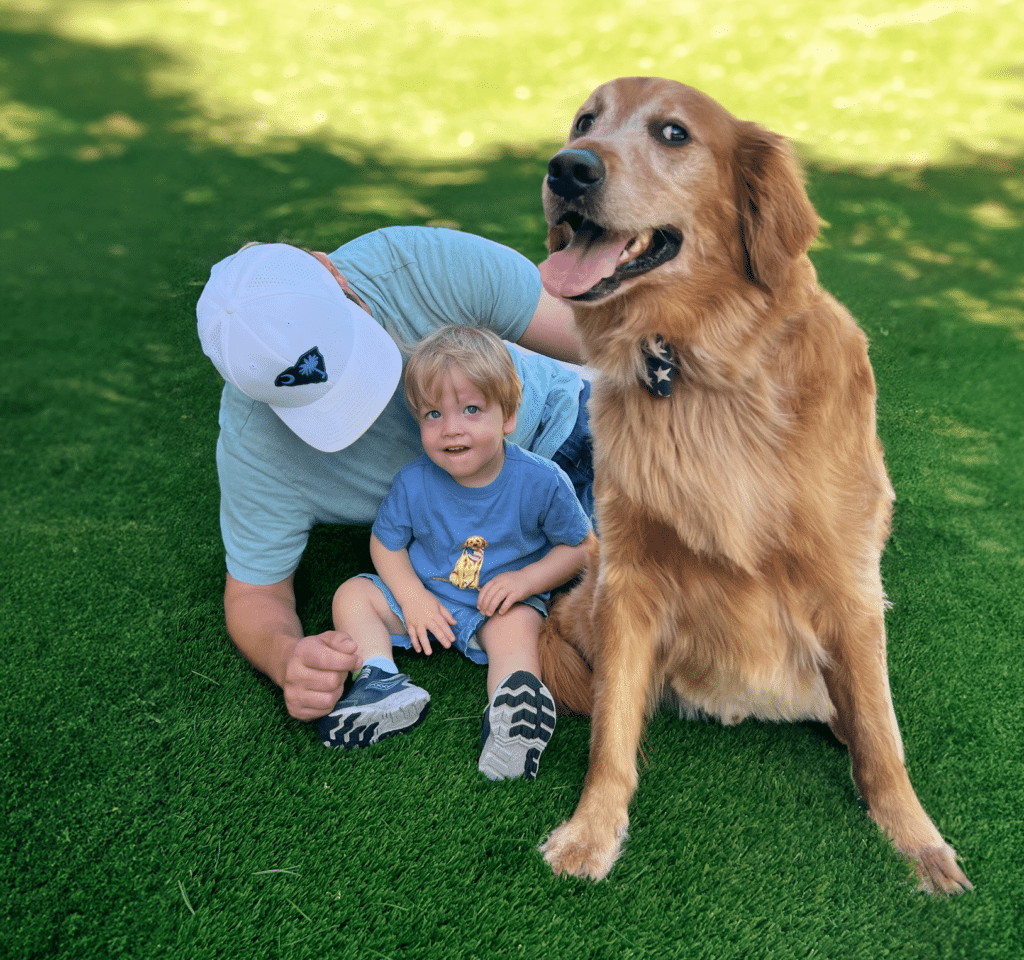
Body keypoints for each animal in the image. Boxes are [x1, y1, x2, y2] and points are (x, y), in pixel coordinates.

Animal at [532, 74, 970, 892]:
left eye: (674, 133)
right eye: (584, 121)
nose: (567, 168)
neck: (702, 366)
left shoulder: (848, 581)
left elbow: (884, 740)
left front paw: (916, 839)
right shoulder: (629, 577)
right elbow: (611, 730)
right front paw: (592, 830)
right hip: (591, 596)